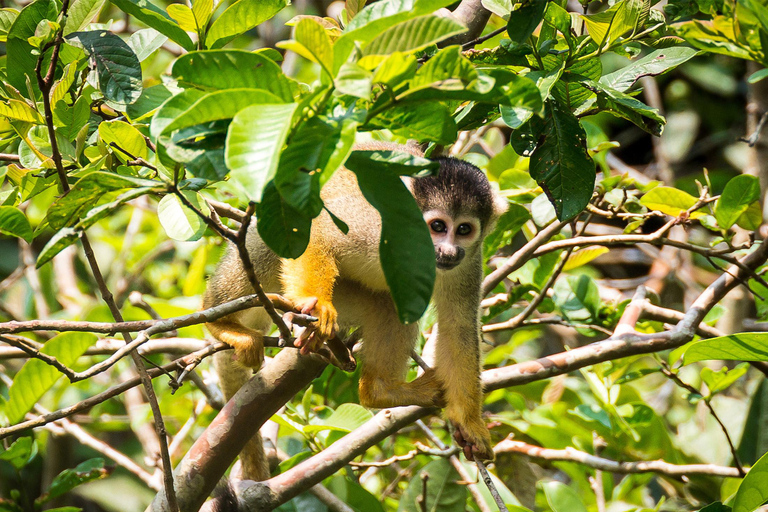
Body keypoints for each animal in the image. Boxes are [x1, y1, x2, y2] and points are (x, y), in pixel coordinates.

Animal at [204, 142, 508, 478]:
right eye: (438, 226)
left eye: (464, 229)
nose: (449, 251)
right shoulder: (377, 222)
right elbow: (316, 230)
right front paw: (318, 308)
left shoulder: (468, 262)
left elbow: (459, 327)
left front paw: (469, 424)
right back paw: (221, 320)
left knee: (391, 303)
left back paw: (381, 390)